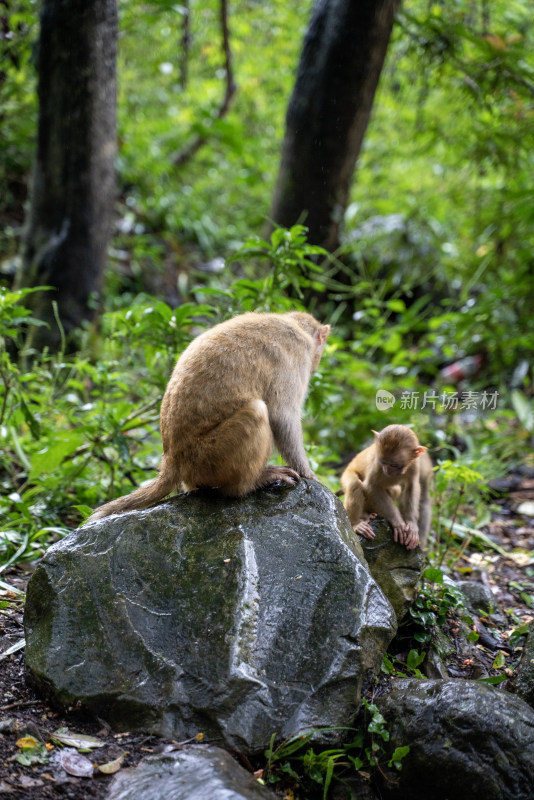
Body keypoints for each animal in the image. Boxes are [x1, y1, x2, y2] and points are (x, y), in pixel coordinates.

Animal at [88, 310, 330, 520]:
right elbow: (283, 416)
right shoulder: (295, 357)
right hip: (207, 458)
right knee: (257, 412)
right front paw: (310, 474)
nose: (318, 362)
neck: (294, 325)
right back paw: (251, 484)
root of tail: (171, 459)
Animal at [344, 424, 436, 552]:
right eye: (383, 462)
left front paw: (412, 525)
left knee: (396, 489)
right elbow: (372, 486)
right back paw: (357, 522)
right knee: (354, 483)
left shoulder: (414, 464)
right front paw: (398, 523)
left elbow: (412, 486)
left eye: (394, 465)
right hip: (347, 473)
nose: (386, 470)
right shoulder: (377, 464)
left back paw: (370, 513)